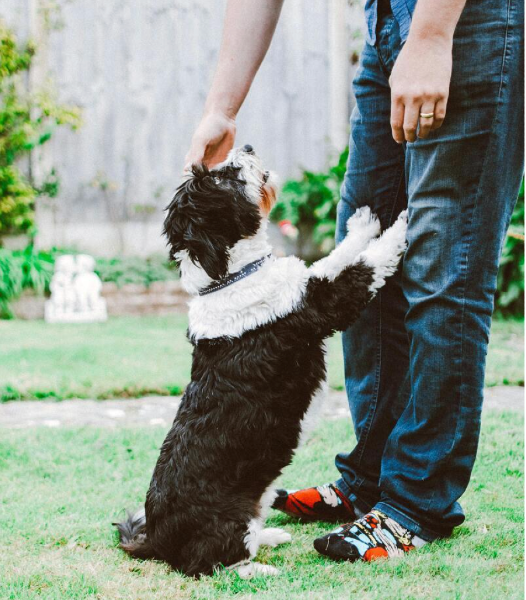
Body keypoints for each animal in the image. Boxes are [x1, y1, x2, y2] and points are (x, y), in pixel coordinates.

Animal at [115, 144, 410, 576]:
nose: (248, 146)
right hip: (226, 521)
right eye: (225, 177)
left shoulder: (306, 284)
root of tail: (155, 537)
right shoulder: (324, 304)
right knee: (206, 565)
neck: (230, 278)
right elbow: (364, 266)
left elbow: (334, 257)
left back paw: (268, 537)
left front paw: (362, 227)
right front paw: (400, 228)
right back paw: (258, 570)